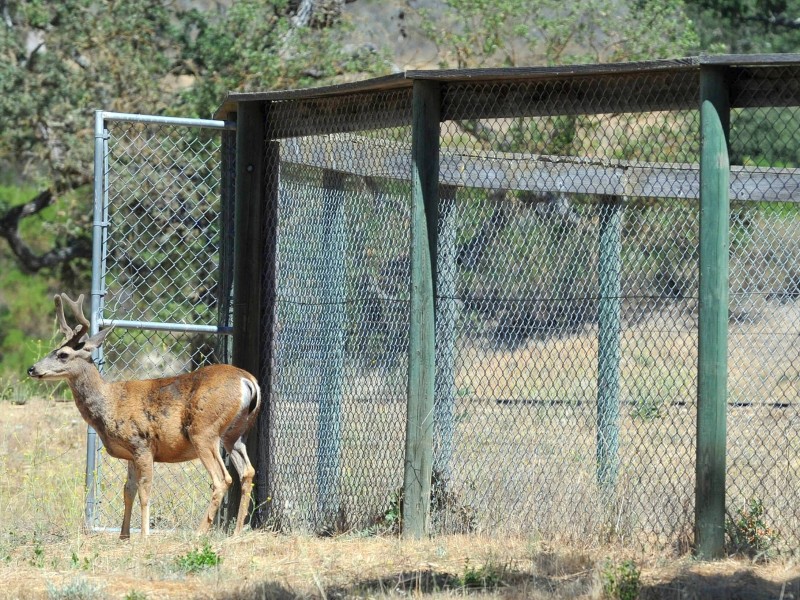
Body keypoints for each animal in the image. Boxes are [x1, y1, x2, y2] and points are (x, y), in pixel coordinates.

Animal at [26, 294, 260, 540]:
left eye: (63, 355)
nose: (32, 369)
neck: (110, 402)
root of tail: (248, 381)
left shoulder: (142, 444)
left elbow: (144, 490)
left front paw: (144, 535)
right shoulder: (130, 452)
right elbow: (128, 490)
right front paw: (124, 535)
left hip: (204, 431)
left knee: (222, 478)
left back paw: (199, 532)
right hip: (235, 434)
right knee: (247, 471)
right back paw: (237, 533)